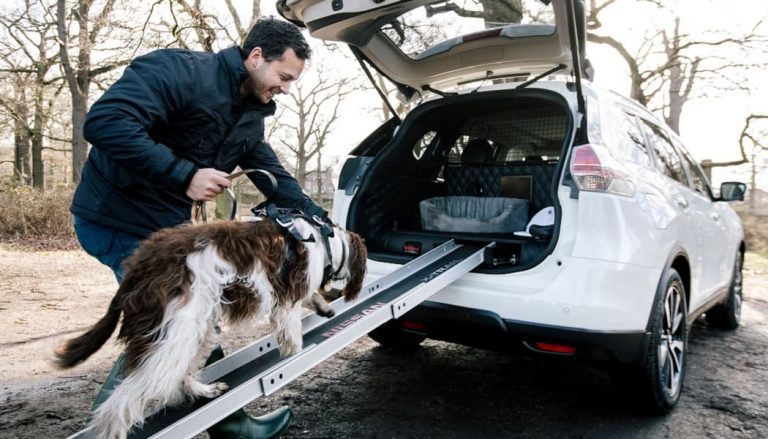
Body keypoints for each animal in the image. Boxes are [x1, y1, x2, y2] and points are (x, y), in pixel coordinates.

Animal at [51, 217, 368, 439]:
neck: (324, 241)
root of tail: (141, 265)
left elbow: (309, 298)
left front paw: (323, 307)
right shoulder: (286, 300)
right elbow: (293, 333)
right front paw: (297, 352)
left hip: (194, 326)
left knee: (176, 376)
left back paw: (205, 390)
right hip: (175, 331)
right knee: (121, 402)